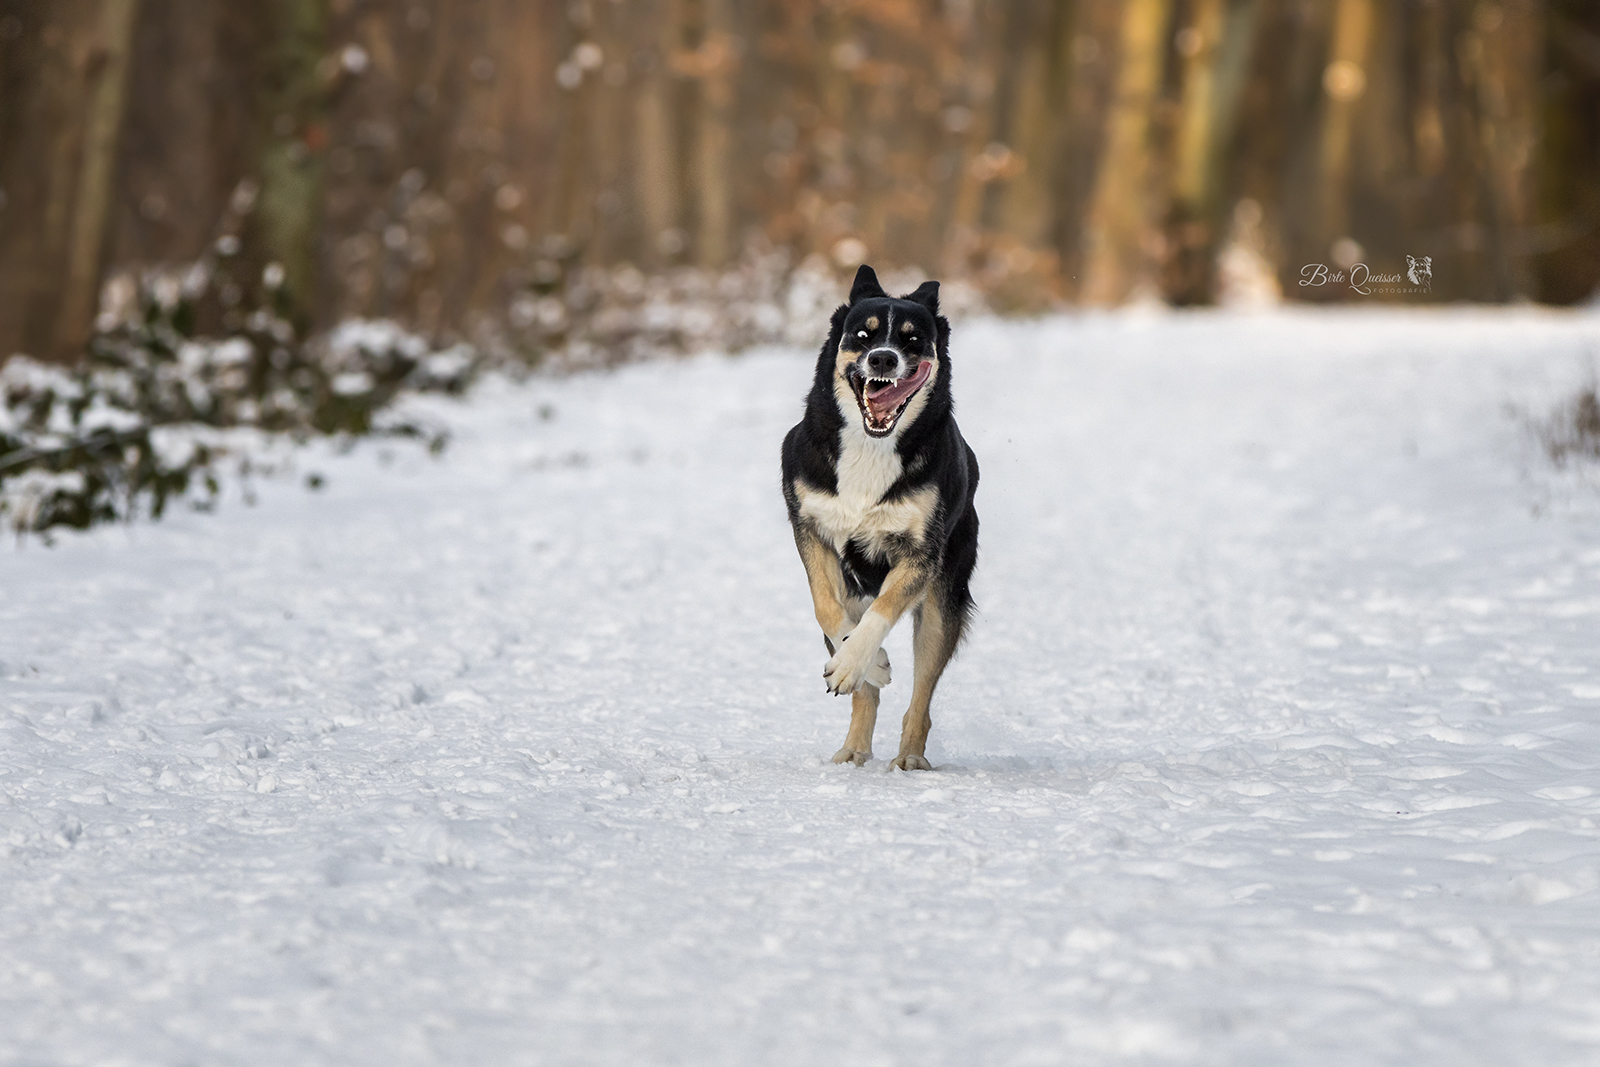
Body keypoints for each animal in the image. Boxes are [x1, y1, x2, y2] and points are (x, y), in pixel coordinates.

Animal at [780, 265, 979, 767]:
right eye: (862, 335)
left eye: (913, 340)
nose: (884, 360)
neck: (872, 447)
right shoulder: (811, 530)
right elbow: (826, 609)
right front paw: (870, 665)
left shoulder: (920, 553)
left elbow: (883, 610)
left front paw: (858, 660)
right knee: (863, 692)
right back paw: (854, 747)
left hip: (942, 604)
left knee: (921, 696)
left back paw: (909, 758)